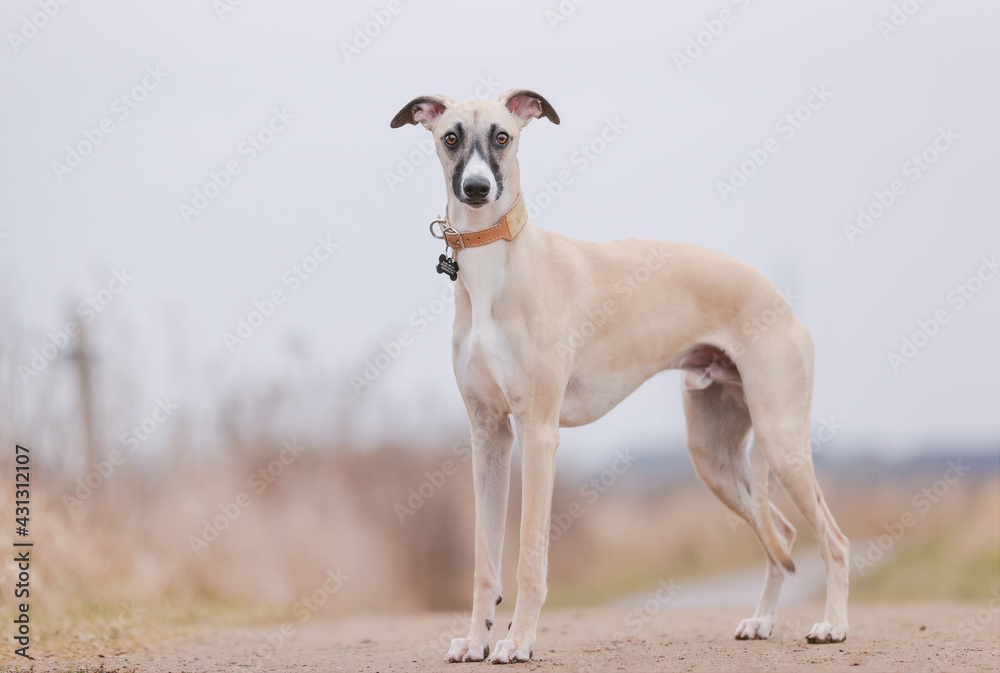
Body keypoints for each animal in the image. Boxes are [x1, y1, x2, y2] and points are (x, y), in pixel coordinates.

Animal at [390, 88, 852, 660]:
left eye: (502, 136)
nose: (477, 189)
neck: (496, 264)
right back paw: (762, 620)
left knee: (834, 539)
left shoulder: (538, 433)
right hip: (713, 455)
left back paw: (833, 626)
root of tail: (780, 300)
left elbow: (529, 557)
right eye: (450, 136)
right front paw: (476, 642)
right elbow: (484, 562)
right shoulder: (489, 435)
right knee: (783, 534)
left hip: (780, 436)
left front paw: (518, 642)